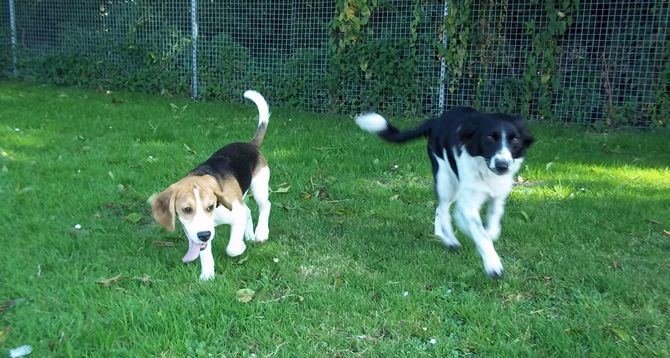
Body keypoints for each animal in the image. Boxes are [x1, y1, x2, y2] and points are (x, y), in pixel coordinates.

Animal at [154, 91, 272, 282]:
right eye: (187, 210)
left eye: (210, 207)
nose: (204, 235)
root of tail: (250, 145)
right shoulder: (195, 232)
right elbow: (204, 251)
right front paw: (207, 275)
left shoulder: (234, 213)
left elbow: (231, 248)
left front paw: (240, 247)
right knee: (248, 211)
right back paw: (249, 235)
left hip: (259, 187)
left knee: (265, 206)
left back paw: (260, 233)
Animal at [356, 107, 536, 278]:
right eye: (490, 137)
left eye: (515, 139)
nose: (502, 165)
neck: (485, 168)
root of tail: (437, 120)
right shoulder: (468, 200)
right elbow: (481, 234)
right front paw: (493, 266)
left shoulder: (498, 196)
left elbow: (492, 228)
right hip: (445, 180)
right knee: (442, 209)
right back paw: (449, 240)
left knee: (441, 209)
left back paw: (442, 235)